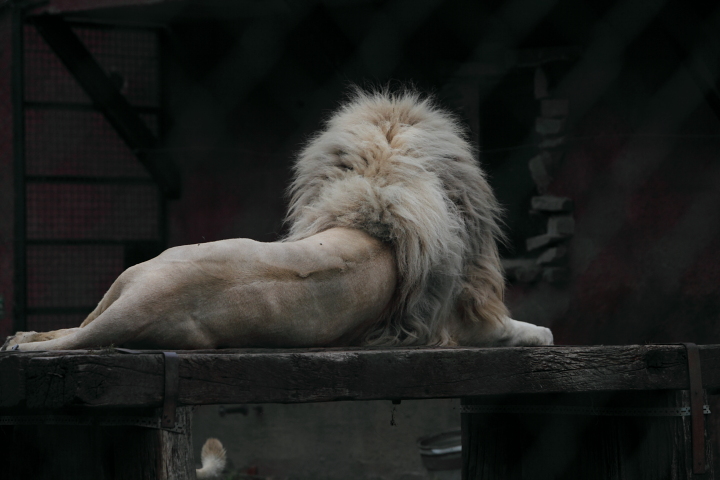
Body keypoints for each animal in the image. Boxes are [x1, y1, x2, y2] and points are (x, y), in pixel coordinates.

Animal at [2, 89, 552, 352]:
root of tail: (138, 304)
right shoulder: (456, 321)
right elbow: (527, 329)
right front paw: (541, 332)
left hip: (127, 279)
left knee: (74, 326)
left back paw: (20, 339)